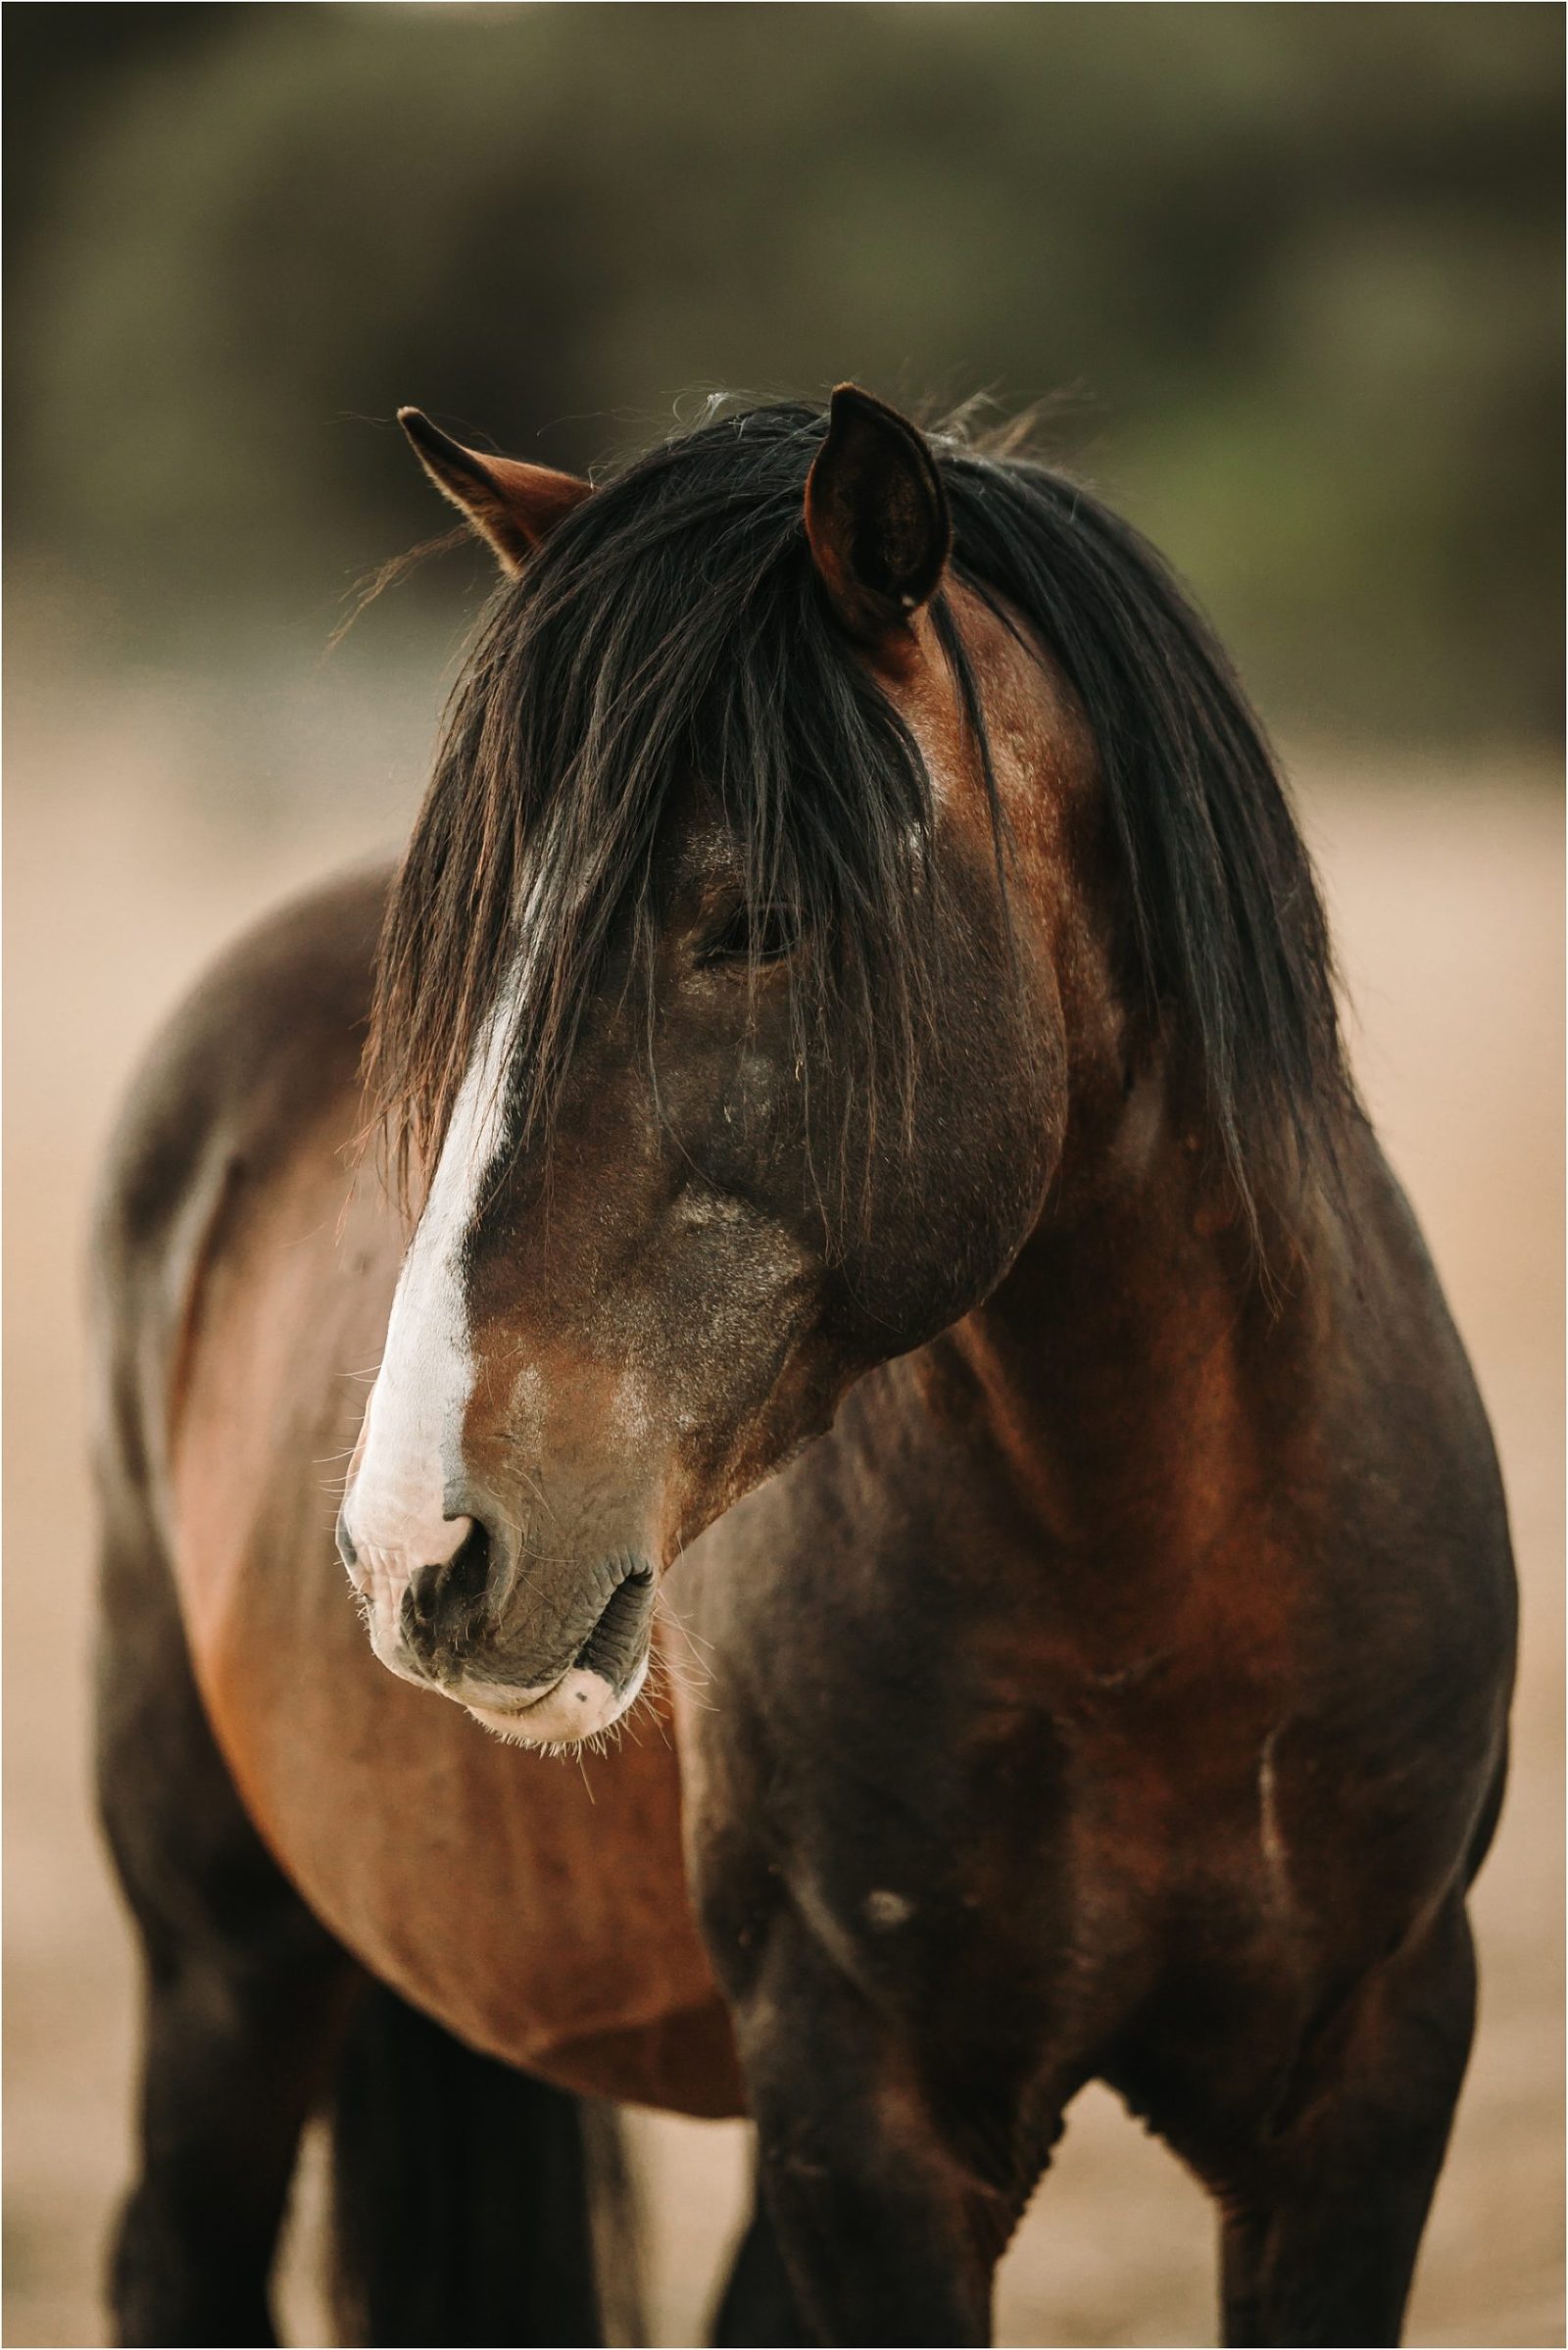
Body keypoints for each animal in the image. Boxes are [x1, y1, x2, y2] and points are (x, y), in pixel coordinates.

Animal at [92, 375, 1513, 2340]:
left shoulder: (1366, 2089)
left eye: (752, 921)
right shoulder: (870, 2121)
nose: (412, 1549)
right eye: (475, 954)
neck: (1163, 1595)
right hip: (221, 1951)